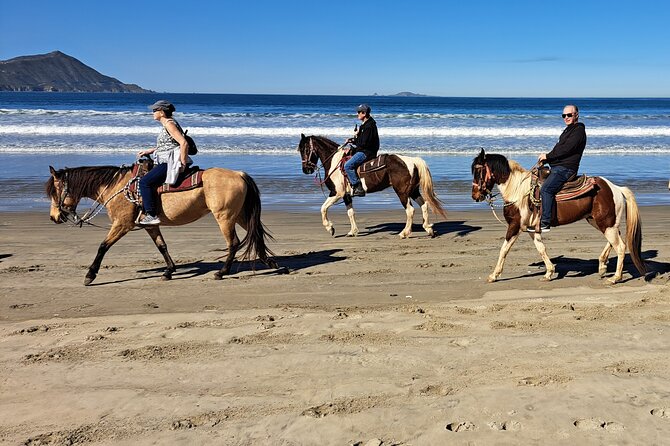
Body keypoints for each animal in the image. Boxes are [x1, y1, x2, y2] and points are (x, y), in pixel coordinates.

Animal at [46, 163, 278, 285]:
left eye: (55, 191)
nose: (54, 217)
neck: (117, 186)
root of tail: (239, 174)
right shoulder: (150, 225)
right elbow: (162, 246)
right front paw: (169, 271)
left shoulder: (122, 224)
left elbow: (103, 246)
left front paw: (90, 275)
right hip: (240, 215)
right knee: (255, 235)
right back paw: (271, 263)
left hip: (225, 216)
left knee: (234, 242)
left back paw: (222, 272)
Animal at [298, 134, 447, 238]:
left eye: (306, 149)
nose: (306, 170)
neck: (335, 162)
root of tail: (412, 160)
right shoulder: (346, 196)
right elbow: (350, 212)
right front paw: (352, 231)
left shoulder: (336, 193)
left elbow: (323, 208)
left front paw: (330, 228)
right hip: (413, 191)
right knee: (424, 205)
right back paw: (428, 228)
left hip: (402, 192)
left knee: (410, 210)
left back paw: (404, 233)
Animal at [471, 149, 646, 284]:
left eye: (478, 171)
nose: (475, 196)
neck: (517, 190)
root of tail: (616, 188)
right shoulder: (531, 229)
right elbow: (541, 248)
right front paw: (549, 273)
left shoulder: (515, 226)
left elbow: (504, 249)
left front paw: (494, 275)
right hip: (600, 222)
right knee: (616, 239)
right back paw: (602, 265)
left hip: (605, 223)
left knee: (621, 246)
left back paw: (615, 278)